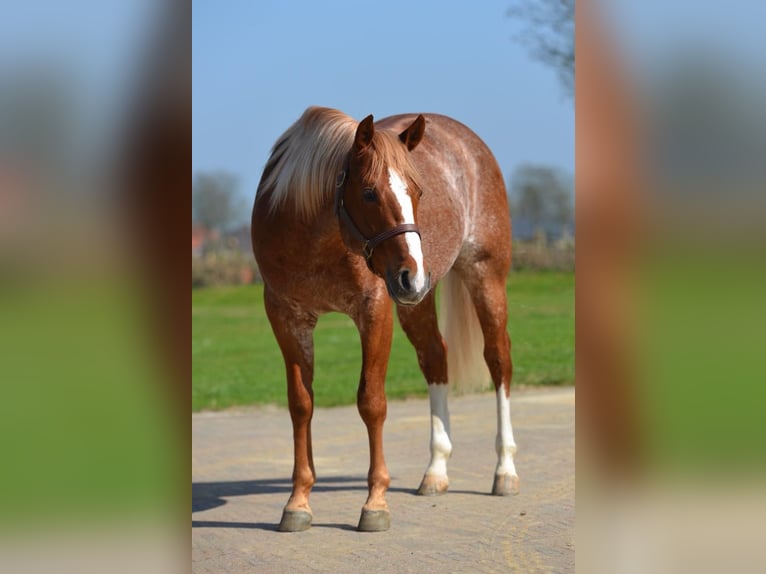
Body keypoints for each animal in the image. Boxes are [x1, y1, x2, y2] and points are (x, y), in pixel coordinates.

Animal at [251, 106, 519, 532]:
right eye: (368, 193)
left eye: (419, 191)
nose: (413, 275)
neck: (314, 237)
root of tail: (467, 140)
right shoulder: (286, 317)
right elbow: (301, 404)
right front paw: (297, 502)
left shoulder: (374, 311)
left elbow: (371, 402)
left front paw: (375, 503)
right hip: (415, 302)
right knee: (435, 358)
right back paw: (436, 472)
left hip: (485, 276)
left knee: (498, 361)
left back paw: (505, 470)